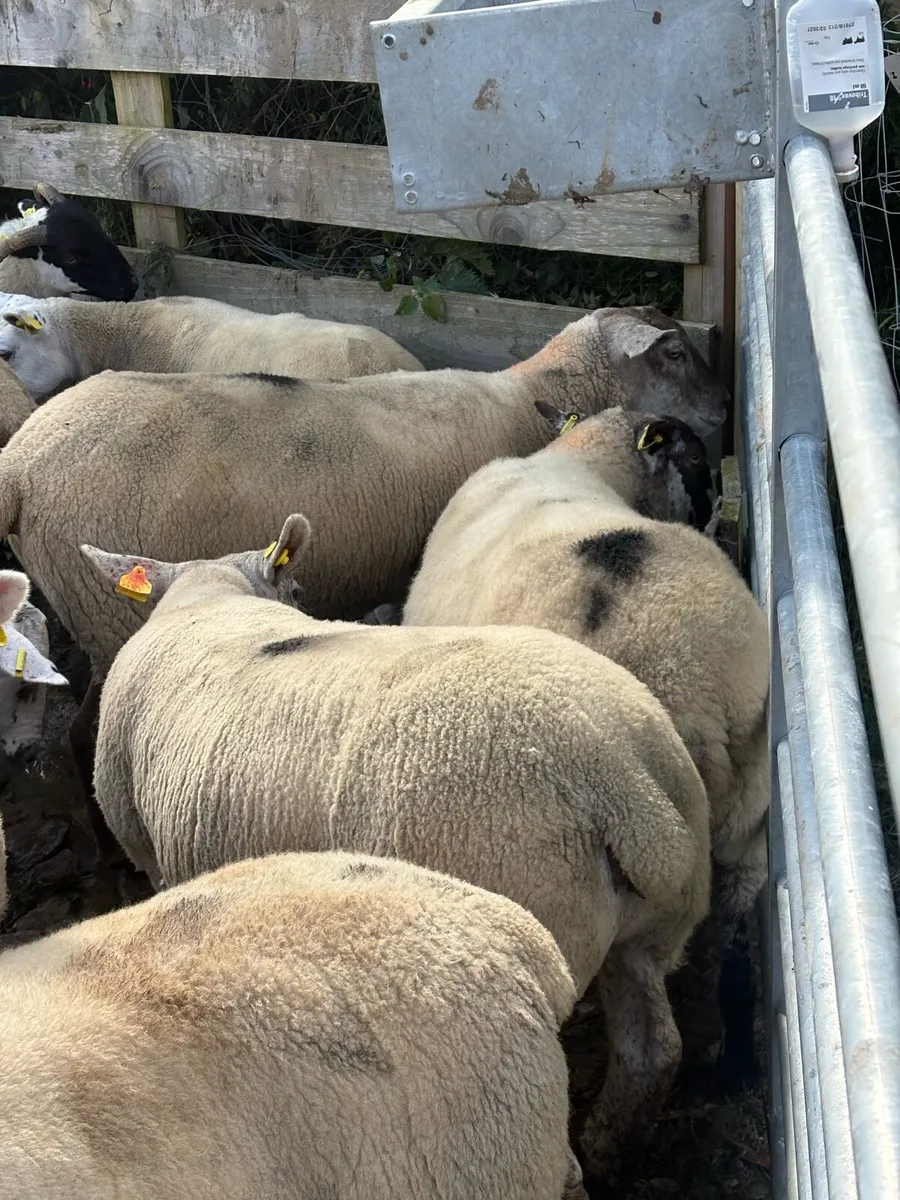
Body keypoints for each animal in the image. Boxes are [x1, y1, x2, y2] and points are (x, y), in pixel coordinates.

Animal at [79, 513, 711, 1183]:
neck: (211, 599)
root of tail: (617, 775)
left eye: (299, 590)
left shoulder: (146, 853)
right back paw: (613, 1147)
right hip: (651, 921)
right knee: (653, 1048)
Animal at [402, 403, 770, 1090]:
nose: (716, 515)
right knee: (730, 939)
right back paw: (726, 1059)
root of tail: (700, 684)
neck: (577, 458)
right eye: (697, 463)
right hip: (747, 806)